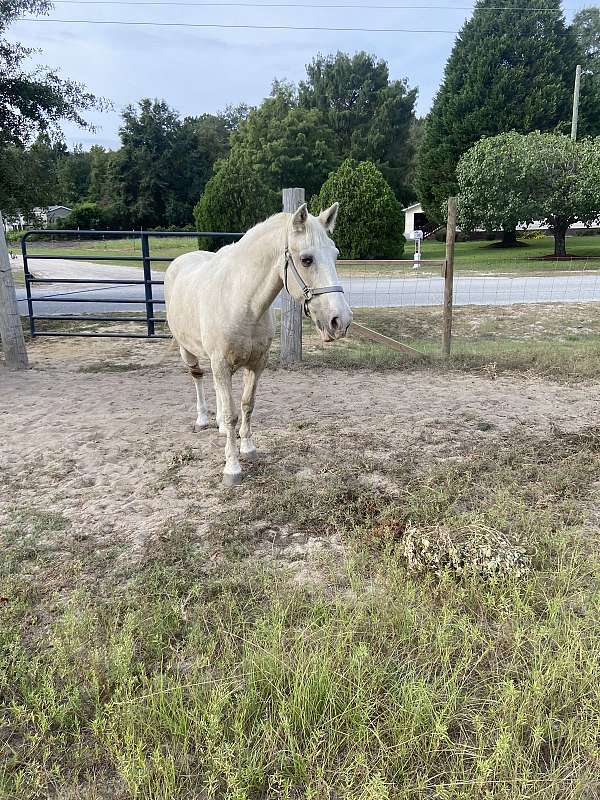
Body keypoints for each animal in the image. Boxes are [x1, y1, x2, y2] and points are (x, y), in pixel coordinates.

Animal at [165, 203, 352, 484]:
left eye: (335, 255)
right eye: (306, 259)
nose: (341, 321)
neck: (242, 301)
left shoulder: (256, 364)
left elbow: (246, 405)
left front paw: (248, 448)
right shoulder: (222, 364)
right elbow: (232, 414)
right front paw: (232, 468)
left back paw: (220, 426)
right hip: (187, 350)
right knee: (197, 378)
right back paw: (202, 419)